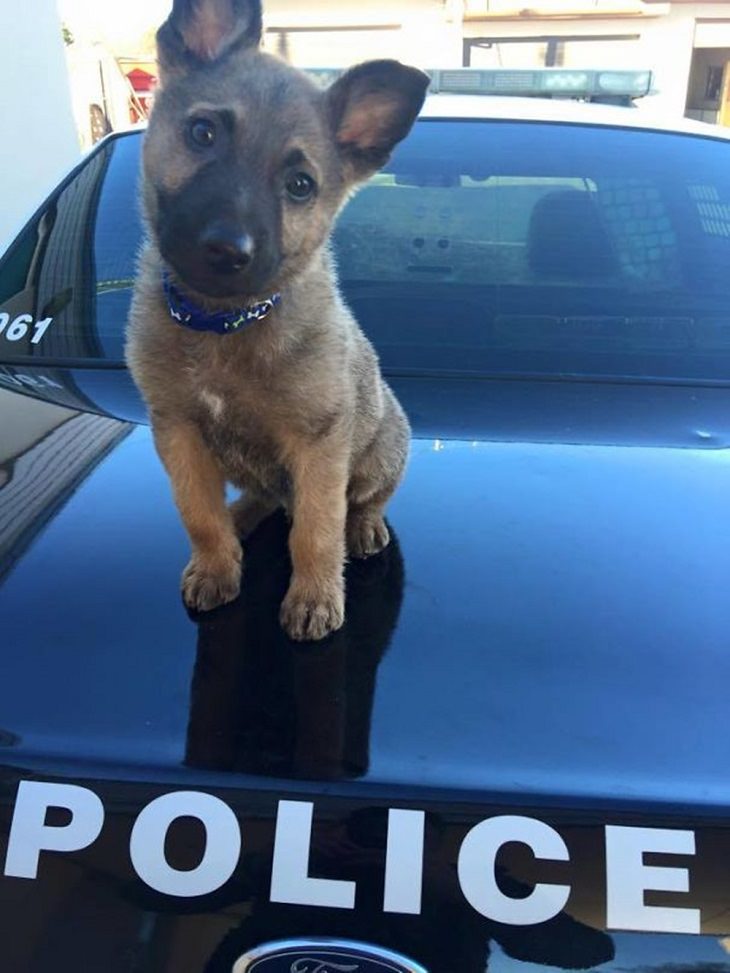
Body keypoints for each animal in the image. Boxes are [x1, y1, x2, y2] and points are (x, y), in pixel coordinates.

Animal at [126, 0, 426, 640]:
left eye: (300, 186)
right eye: (203, 134)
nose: (226, 250)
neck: (223, 324)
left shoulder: (318, 445)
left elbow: (315, 530)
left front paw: (314, 597)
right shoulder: (178, 431)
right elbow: (198, 512)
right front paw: (217, 564)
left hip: (382, 448)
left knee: (363, 500)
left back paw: (363, 527)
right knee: (266, 499)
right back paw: (242, 514)